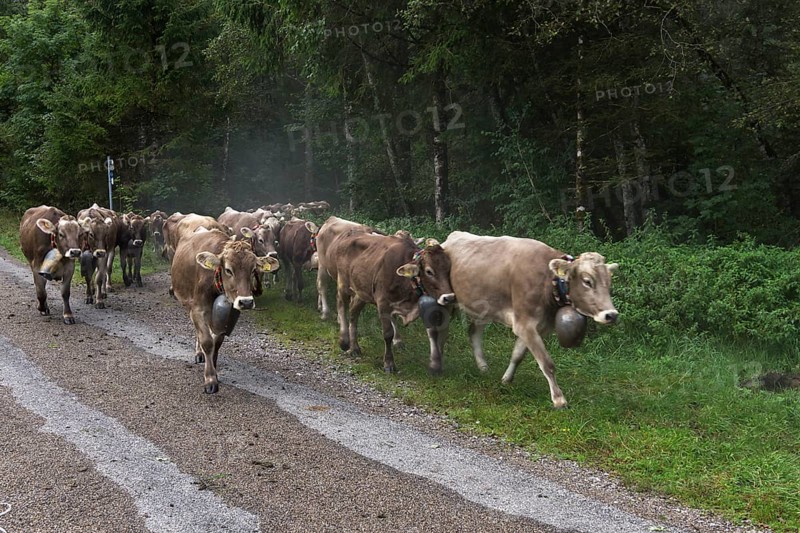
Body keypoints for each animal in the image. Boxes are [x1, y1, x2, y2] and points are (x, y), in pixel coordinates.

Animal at [171, 229, 279, 393]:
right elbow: (207, 341)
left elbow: (217, 341)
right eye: (228, 270)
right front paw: (210, 379)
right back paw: (199, 353)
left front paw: (214, 370)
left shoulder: (228, 313)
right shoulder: (197, 309)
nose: (246, 302)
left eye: (253, 269)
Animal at [323, 230, 455, 374]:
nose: (449, 297)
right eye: (429, 271)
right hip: (343, 284)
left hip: (361, 292)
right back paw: (344, 340)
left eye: (449, 269)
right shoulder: (383, 303)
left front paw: (435, 365)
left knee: (353, 314)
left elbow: (433, 332)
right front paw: (389, 363)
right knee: (341, 306)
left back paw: (354, 348)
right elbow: (388, 334)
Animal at [440, 231, 619, 409]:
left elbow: (518, 355)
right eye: (587, 281)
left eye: (609, 282)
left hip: (482, 308)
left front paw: (506, 379)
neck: (548, 281)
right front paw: (559, 399)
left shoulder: (539, 326)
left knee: (473, 332)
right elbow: (547, 363)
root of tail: (452, 237)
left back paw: (483, 367)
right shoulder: (524, 323)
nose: (612, 314)